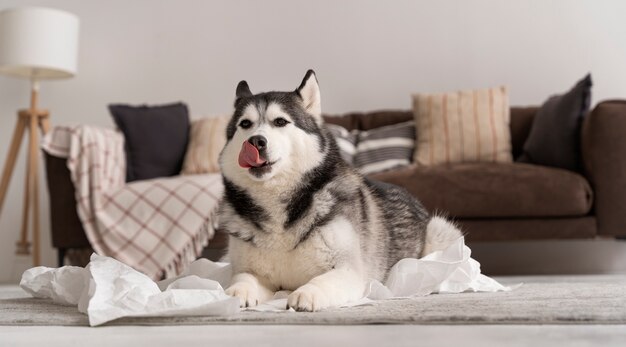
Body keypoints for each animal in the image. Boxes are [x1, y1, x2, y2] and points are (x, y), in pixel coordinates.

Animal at [217, 70, 460, 312]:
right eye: (245, 124)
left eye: (280, 122)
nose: (255, 141)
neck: (277, 201)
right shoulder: (250, 270)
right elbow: (243, 278)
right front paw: (234, 293)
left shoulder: (348, 270)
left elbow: (322, 280)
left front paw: (306, 293)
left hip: (439, 230)